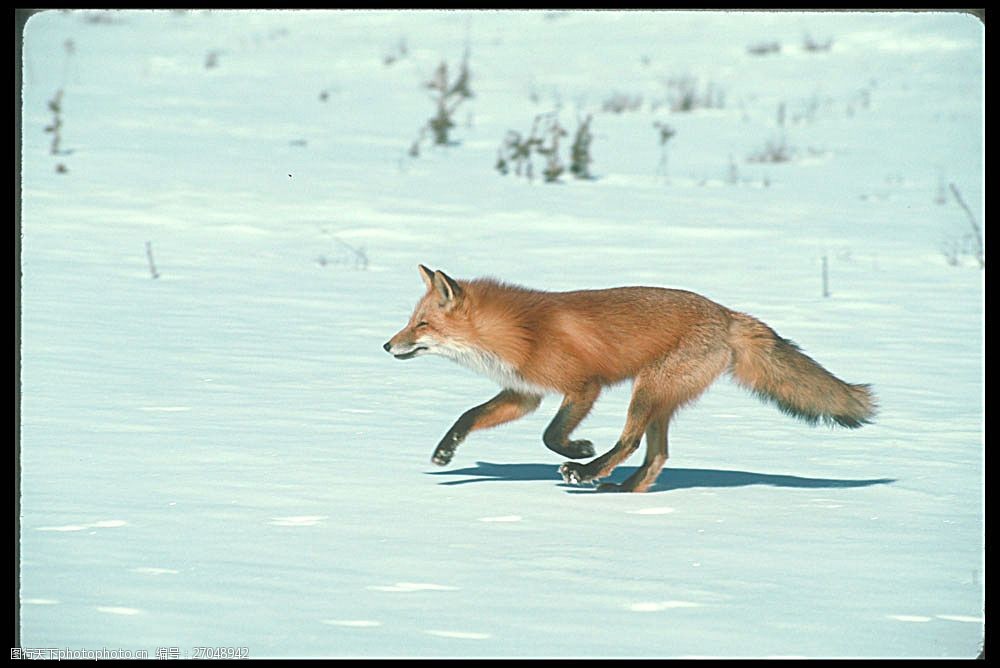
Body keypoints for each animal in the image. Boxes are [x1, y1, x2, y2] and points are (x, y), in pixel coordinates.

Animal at [382, 264, 876, 490]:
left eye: (421, 325)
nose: (387, 346)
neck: (521, 330)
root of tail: (727, 314)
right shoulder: (524, 394)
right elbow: (467, 416)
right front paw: (445, 452)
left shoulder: (583, 386)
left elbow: (550, 435)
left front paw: (579, 450)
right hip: (660, 398)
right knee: (657, 455)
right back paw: (624, 490)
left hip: (647, 391)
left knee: (631, 442)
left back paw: (589, 472)